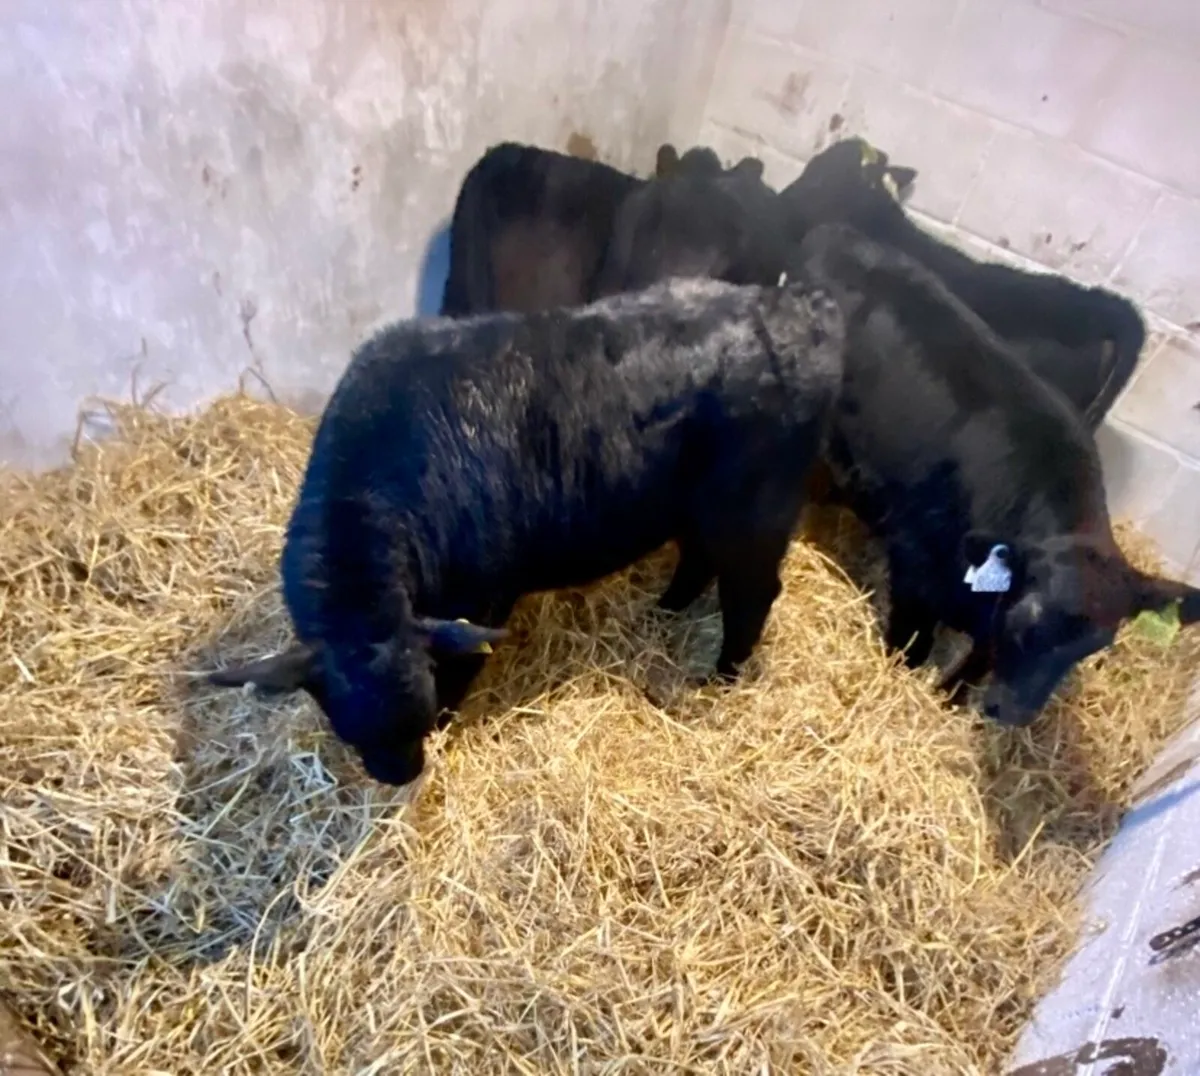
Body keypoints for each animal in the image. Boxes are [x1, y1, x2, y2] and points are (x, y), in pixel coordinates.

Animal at [207, 277, 846, 786]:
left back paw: (722, 677)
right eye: (348, 726)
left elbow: (462, 665)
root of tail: (799, 310)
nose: (401, 776)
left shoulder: (483, 595)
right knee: (699, 560)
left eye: (421, 711)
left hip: (756, 512)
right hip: (697, 508)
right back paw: (664, 612)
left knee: (752, 593)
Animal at [789, 222, 1199, 728]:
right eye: (1032, 616)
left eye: (1093, 646)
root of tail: (839, 233)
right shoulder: (914, 566)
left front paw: (950, 699)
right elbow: (912, 645)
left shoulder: (988, 619)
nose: (1013, 712)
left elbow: (976, 664)